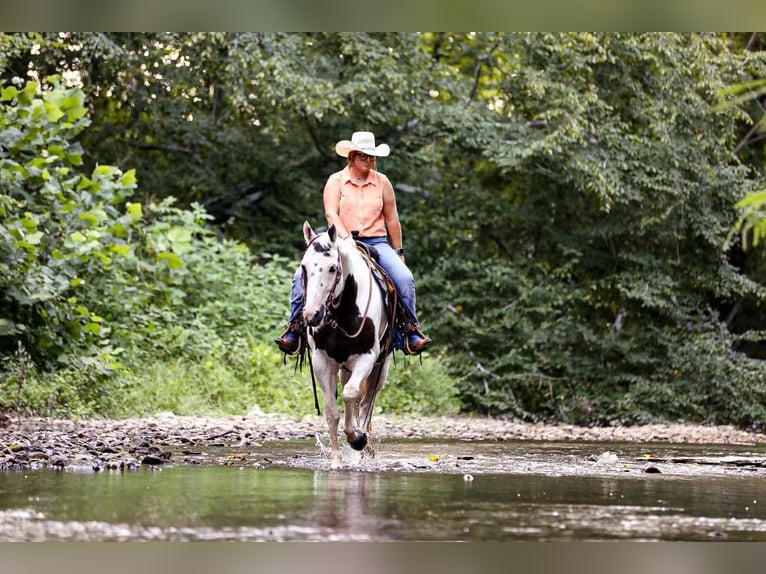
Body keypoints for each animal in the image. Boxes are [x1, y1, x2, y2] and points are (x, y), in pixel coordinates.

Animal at [300, 220, 396, 468]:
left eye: (333, 268)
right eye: (304, 268)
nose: (312, 315)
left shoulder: (367, 357)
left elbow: (352, 394)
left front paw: (356, 439)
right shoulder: (322, 362)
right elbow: (332, 412)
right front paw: (336, 460)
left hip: (381, 368)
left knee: (366, 404)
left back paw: (364, 446)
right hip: (345, 368)